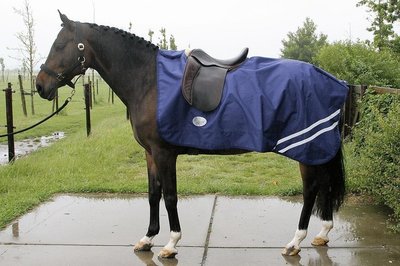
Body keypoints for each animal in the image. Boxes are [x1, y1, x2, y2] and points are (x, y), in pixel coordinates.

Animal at [36, 11, 346, 258]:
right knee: (325, 185)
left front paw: (171, 244)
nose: (40, 85)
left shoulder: (164, 153)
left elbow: (170, 196)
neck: (148, 80)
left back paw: (295, 242)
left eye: (59, 45)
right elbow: (153, 194)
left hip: (307, 148)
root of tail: (332, 79)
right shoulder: (149, 153)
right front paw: (147, 239)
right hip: (318, 150)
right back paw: (323, 233)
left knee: (310, 190)